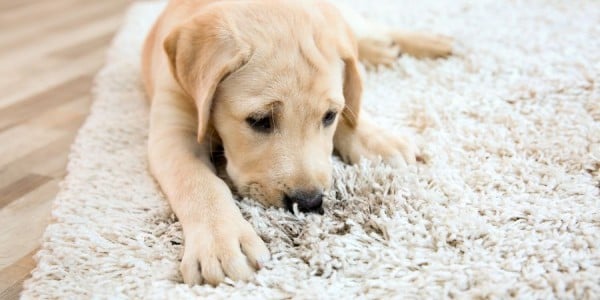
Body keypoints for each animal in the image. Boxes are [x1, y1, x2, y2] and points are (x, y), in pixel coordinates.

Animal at [141, 0, 450, 286]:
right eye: (260, 120)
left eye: (329, 116)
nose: (309, 203)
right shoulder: (173, 132)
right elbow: (199, 182)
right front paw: (220, 243)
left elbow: (351, 102)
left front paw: (377, 139)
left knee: (367, 33)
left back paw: (429, 43)